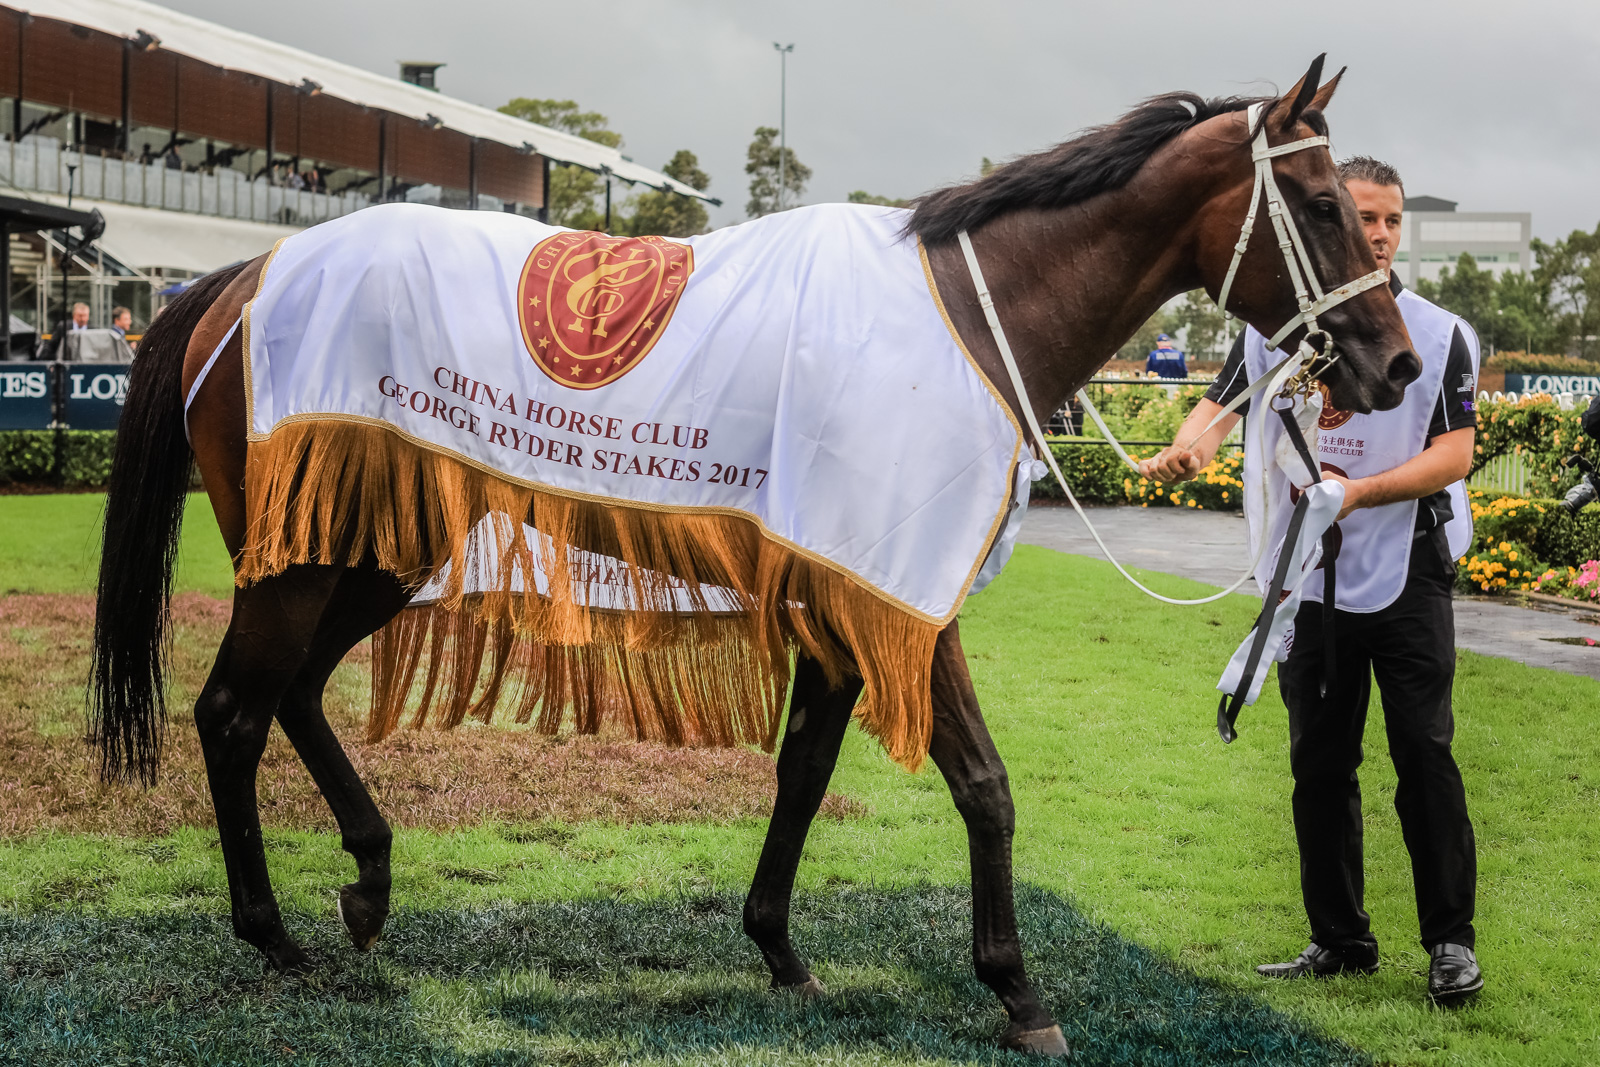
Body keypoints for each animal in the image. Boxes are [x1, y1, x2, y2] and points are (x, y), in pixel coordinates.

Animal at [90, 60, 1414, 1062]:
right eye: (1319, 203)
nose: (1396, 362)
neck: (966, 313)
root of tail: (240, 276)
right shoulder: (903, 594)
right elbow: (984, 784)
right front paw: (1018, 990)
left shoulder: (846, 590)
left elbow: (803, 771)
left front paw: (778, 944)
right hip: (306, 560)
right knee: (231, 710)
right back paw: (272, 930)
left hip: (374, 548)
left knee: (297, 693)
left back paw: (366, 879)